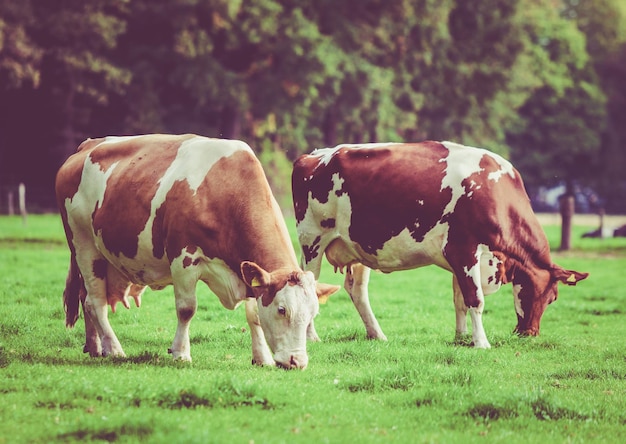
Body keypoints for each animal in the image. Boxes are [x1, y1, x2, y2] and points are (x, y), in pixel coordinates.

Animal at [56, 134, 338, 370]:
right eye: (282, 310)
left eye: (313, 314)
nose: (297, 361)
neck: (224, 191)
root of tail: (87, 146)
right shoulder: (183, 258)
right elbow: (187, 309)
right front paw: (181, 353)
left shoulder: (246, 268)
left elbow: (254, 315)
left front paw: (262, 357)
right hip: (84, 246)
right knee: (95, 302)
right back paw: (113, 348)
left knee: (85, 297)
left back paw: (96, 346)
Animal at [290, 140, 588, 348]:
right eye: (546, 295)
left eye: (553, 297)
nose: (530, 334)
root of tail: (313, 155)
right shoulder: (464, 250)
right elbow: (475, 299)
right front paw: (481, 343)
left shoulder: (462, 259)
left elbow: (460, 301)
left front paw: (462, 337)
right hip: (312, 240)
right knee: (311, 284)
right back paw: (312, 337)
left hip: (358, 246)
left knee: (357, 291)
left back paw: (377, 334)